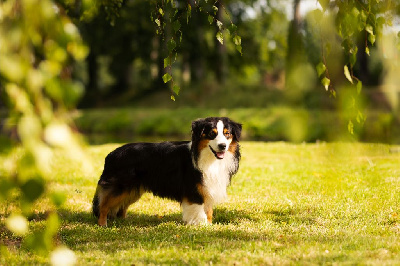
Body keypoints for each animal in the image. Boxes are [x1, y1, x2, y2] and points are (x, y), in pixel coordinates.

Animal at [92, 117, 241, 225]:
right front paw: (201, 226)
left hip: (132, 190)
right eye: (211, 134)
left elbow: (208, 210)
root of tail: (111, 154)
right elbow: (199, 211)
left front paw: (209, 226)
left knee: (121, 207)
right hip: (120, 187)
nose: (222, 146)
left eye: (227, 134)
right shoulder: (194, 189)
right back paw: (102, 224)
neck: (208, 157)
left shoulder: (208, 187)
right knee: (103, 205)